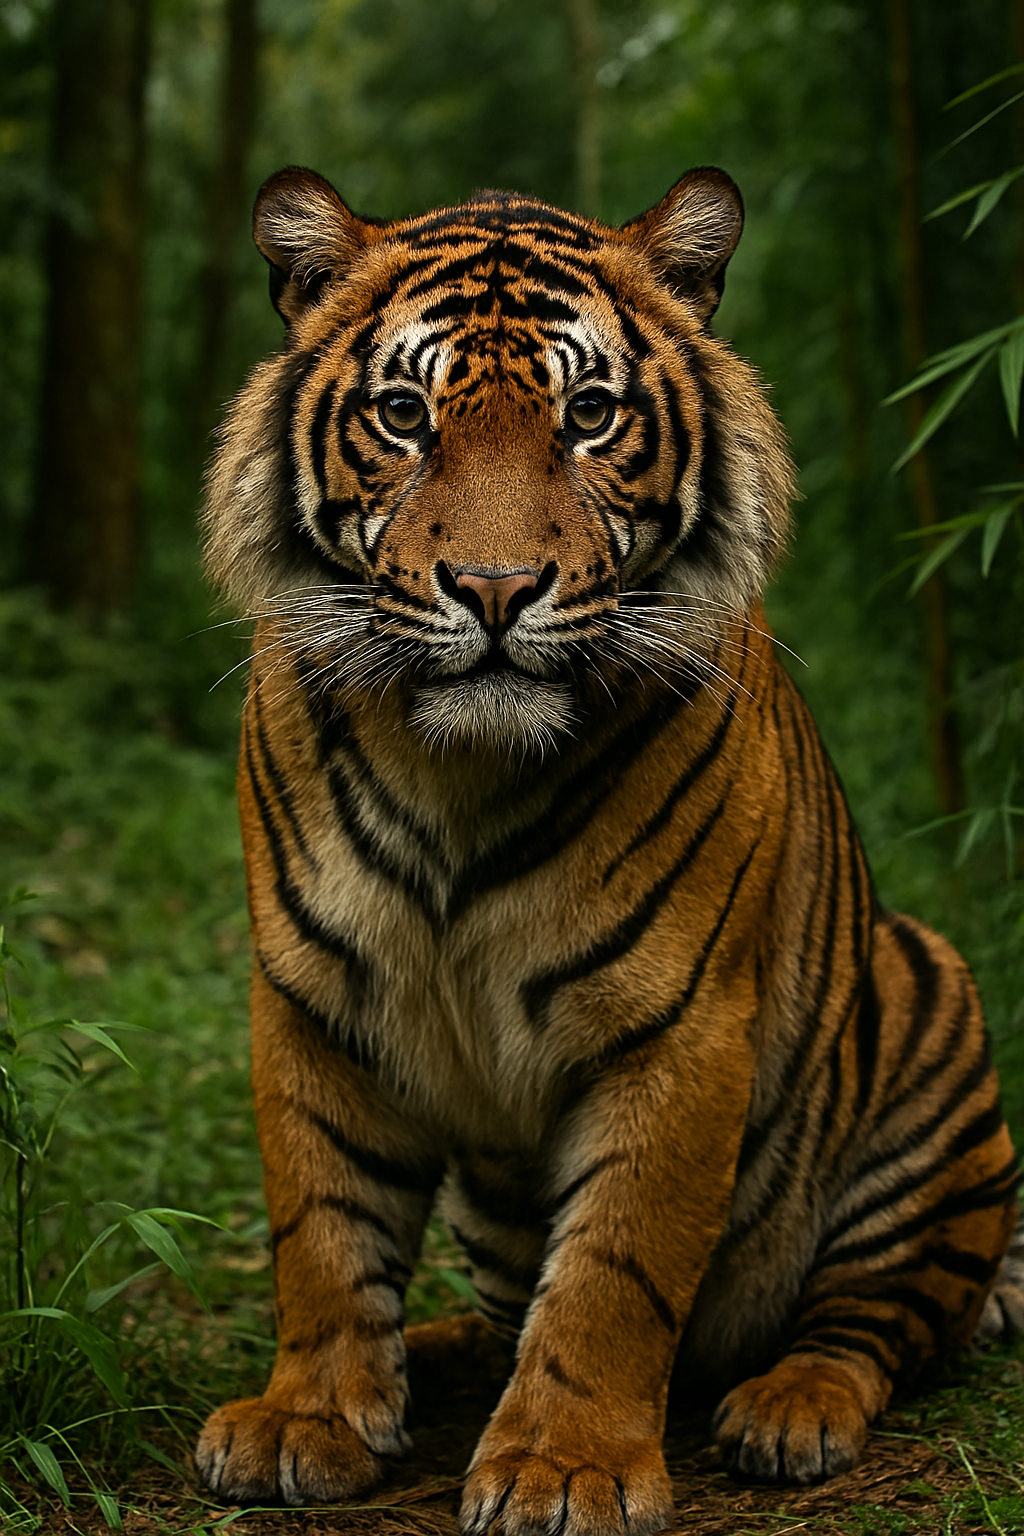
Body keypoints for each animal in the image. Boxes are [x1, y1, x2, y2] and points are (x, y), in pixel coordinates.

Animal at [195, 163, 1019, 1536]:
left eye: (588, 415)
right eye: (404, 416)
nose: (491, 588)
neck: (456, 769)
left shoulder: (678, 1027)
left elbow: (613, 1269)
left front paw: (563, 1467)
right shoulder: (313, 1000)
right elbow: (321, 1226)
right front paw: (308, 1419)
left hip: (927, 1024)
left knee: (876, 1321)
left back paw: (789, 1409)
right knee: (486, 1309)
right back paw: (435, 1357)